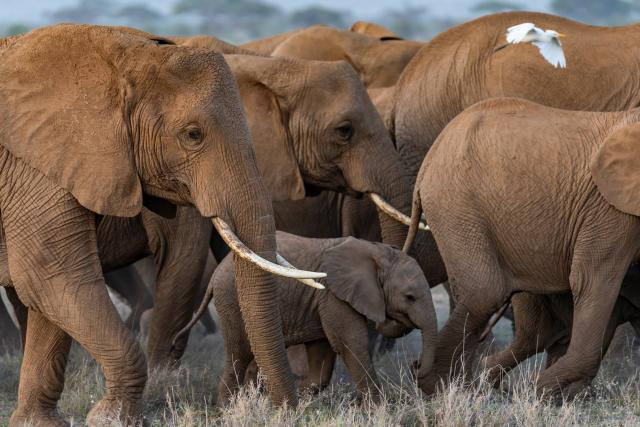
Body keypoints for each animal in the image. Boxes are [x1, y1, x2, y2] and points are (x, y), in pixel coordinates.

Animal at [0, 24, 325, 425]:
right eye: (193, 135)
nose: (289, 411)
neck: (119, 53)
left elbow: (50, 294)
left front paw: (39, 423)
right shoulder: (34, 168)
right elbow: (53, 276)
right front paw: (110, 417)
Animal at [176, 231, 437, 405]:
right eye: (410, 297)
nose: (415, 365)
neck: (377, 252)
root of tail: (217, 272)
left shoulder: (320, 300)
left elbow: (322, 359)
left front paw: (300, 397)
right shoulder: (332, 295)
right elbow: (350, 345)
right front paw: (378, 409)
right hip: (231, 301)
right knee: (239, 356)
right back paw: (226, 409)